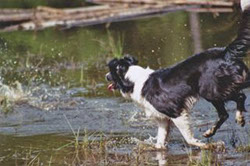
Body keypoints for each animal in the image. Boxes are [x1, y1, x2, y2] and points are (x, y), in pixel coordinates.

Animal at [104, 0, 249, 149]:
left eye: (111, 72)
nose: (106, 76)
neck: (133, 79)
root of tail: (226, 52)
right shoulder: (163, 119)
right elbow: (160, 142)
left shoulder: (175, 112)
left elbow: (188, 138)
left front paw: (205, 146)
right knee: (225, 114)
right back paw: (212, 131)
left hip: (211, 91)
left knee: (239, 97)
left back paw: (238, 118)